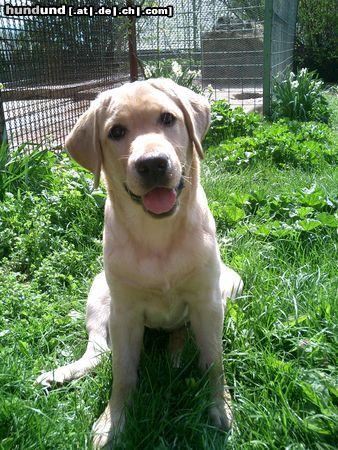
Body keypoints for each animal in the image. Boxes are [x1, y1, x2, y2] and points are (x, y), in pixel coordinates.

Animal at [36, 77, 243, 446]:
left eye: (168, 119)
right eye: (116, 132)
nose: (152, 164)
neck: (156, 234)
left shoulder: (208, 303)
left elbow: (213, 363)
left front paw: (220, 407)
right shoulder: (125, 315)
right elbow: (123, 375)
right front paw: (113, 421)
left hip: (230, 286)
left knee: (182, 332)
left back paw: (176, 355)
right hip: (100, 294)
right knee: (99, 352)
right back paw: (62, 373)